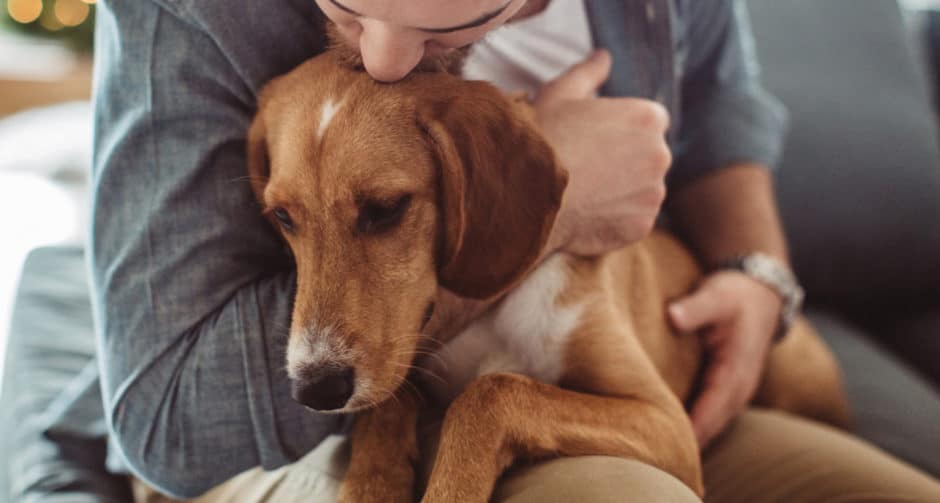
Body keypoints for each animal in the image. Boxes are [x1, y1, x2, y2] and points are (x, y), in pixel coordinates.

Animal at [246, 52, 848, 503]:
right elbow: (388, 404)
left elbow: (493, 392)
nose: (314, 390)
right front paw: (375, 483)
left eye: (386, 209)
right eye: (282, 217)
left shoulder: (667, 421)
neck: (492, 313)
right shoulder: (395, 368)